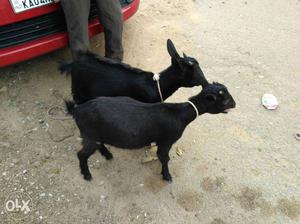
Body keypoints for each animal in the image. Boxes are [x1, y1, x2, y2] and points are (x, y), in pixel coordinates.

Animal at [66, 82, 237, 182]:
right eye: (224, 99)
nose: (235, 104)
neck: (180, 113)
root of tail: (77, 109)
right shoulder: (166, 140)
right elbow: (164, 157)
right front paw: (167, 176)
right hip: (89, 134)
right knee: (81, 154)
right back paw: (87, 174)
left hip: (96, 134)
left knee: (98, 145)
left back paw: (107, 154)